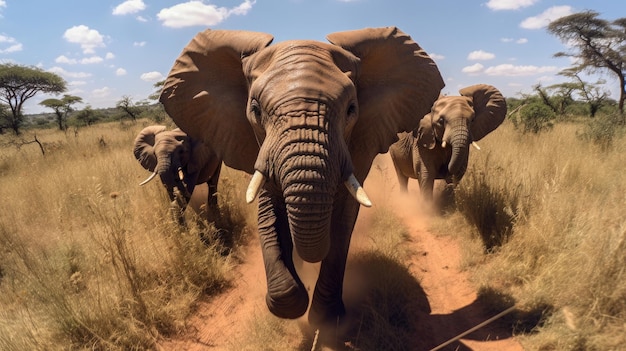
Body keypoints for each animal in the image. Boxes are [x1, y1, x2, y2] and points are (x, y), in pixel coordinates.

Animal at [158, 26, 444, 330]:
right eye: (255, 110)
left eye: (351, 109)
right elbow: (268, 211)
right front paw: (291, 301)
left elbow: (343, 221)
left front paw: (327, 318)